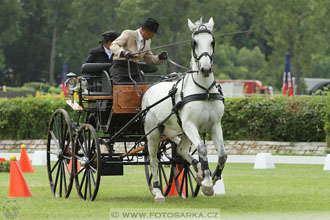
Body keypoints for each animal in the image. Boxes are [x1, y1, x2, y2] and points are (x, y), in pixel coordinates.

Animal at [142, 17, 227, 203]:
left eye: (212, 41)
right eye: (194, 42)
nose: (205, 69)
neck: (204, 91)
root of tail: (150, 89)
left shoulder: (215, 125)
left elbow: (222, 154)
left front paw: (212, 178)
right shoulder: (190, 124)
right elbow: (202, 149)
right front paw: (207, 183)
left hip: (181, 130)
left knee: (181, 150)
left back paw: (198, 172)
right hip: (153, 131)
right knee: (153, 159)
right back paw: (158, 192)